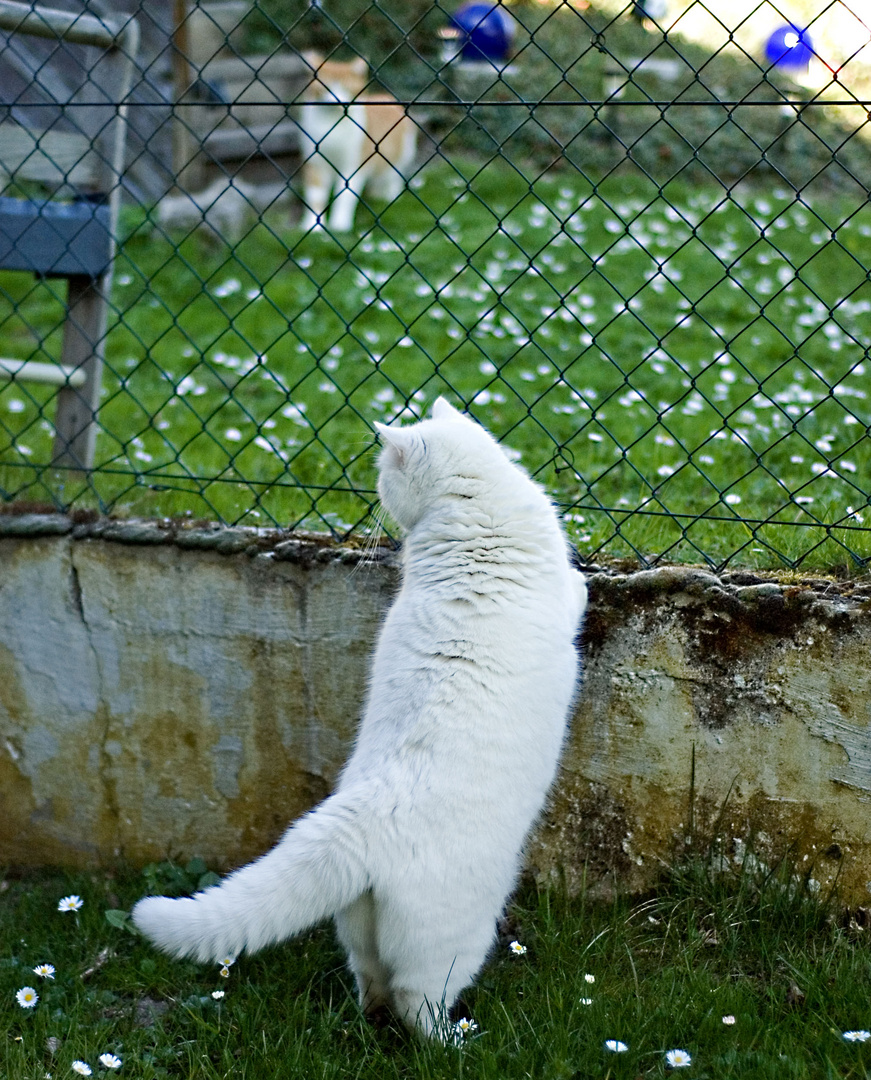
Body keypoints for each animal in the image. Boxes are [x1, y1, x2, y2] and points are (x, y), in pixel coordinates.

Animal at [132, 401, 592, 1041]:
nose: (372, 493)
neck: (478, 506)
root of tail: (367, 814)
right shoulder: (564, 597)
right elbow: (580, 590)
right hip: (455, 939)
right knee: (417, 1000)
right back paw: (456, 1042)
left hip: (358, 926)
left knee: (371, 981)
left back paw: (373, 1023)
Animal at [298, 53, 417, 233]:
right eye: (325, 87)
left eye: (345, 87)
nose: (333, 101)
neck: (332, 126)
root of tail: (385, 97)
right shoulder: (315, 163)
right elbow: (315, 197)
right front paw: (313, 225)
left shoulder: (354, 165)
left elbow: (345, 195)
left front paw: (340, 225)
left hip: (401, 154)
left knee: (393, 175)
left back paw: (390, 195)